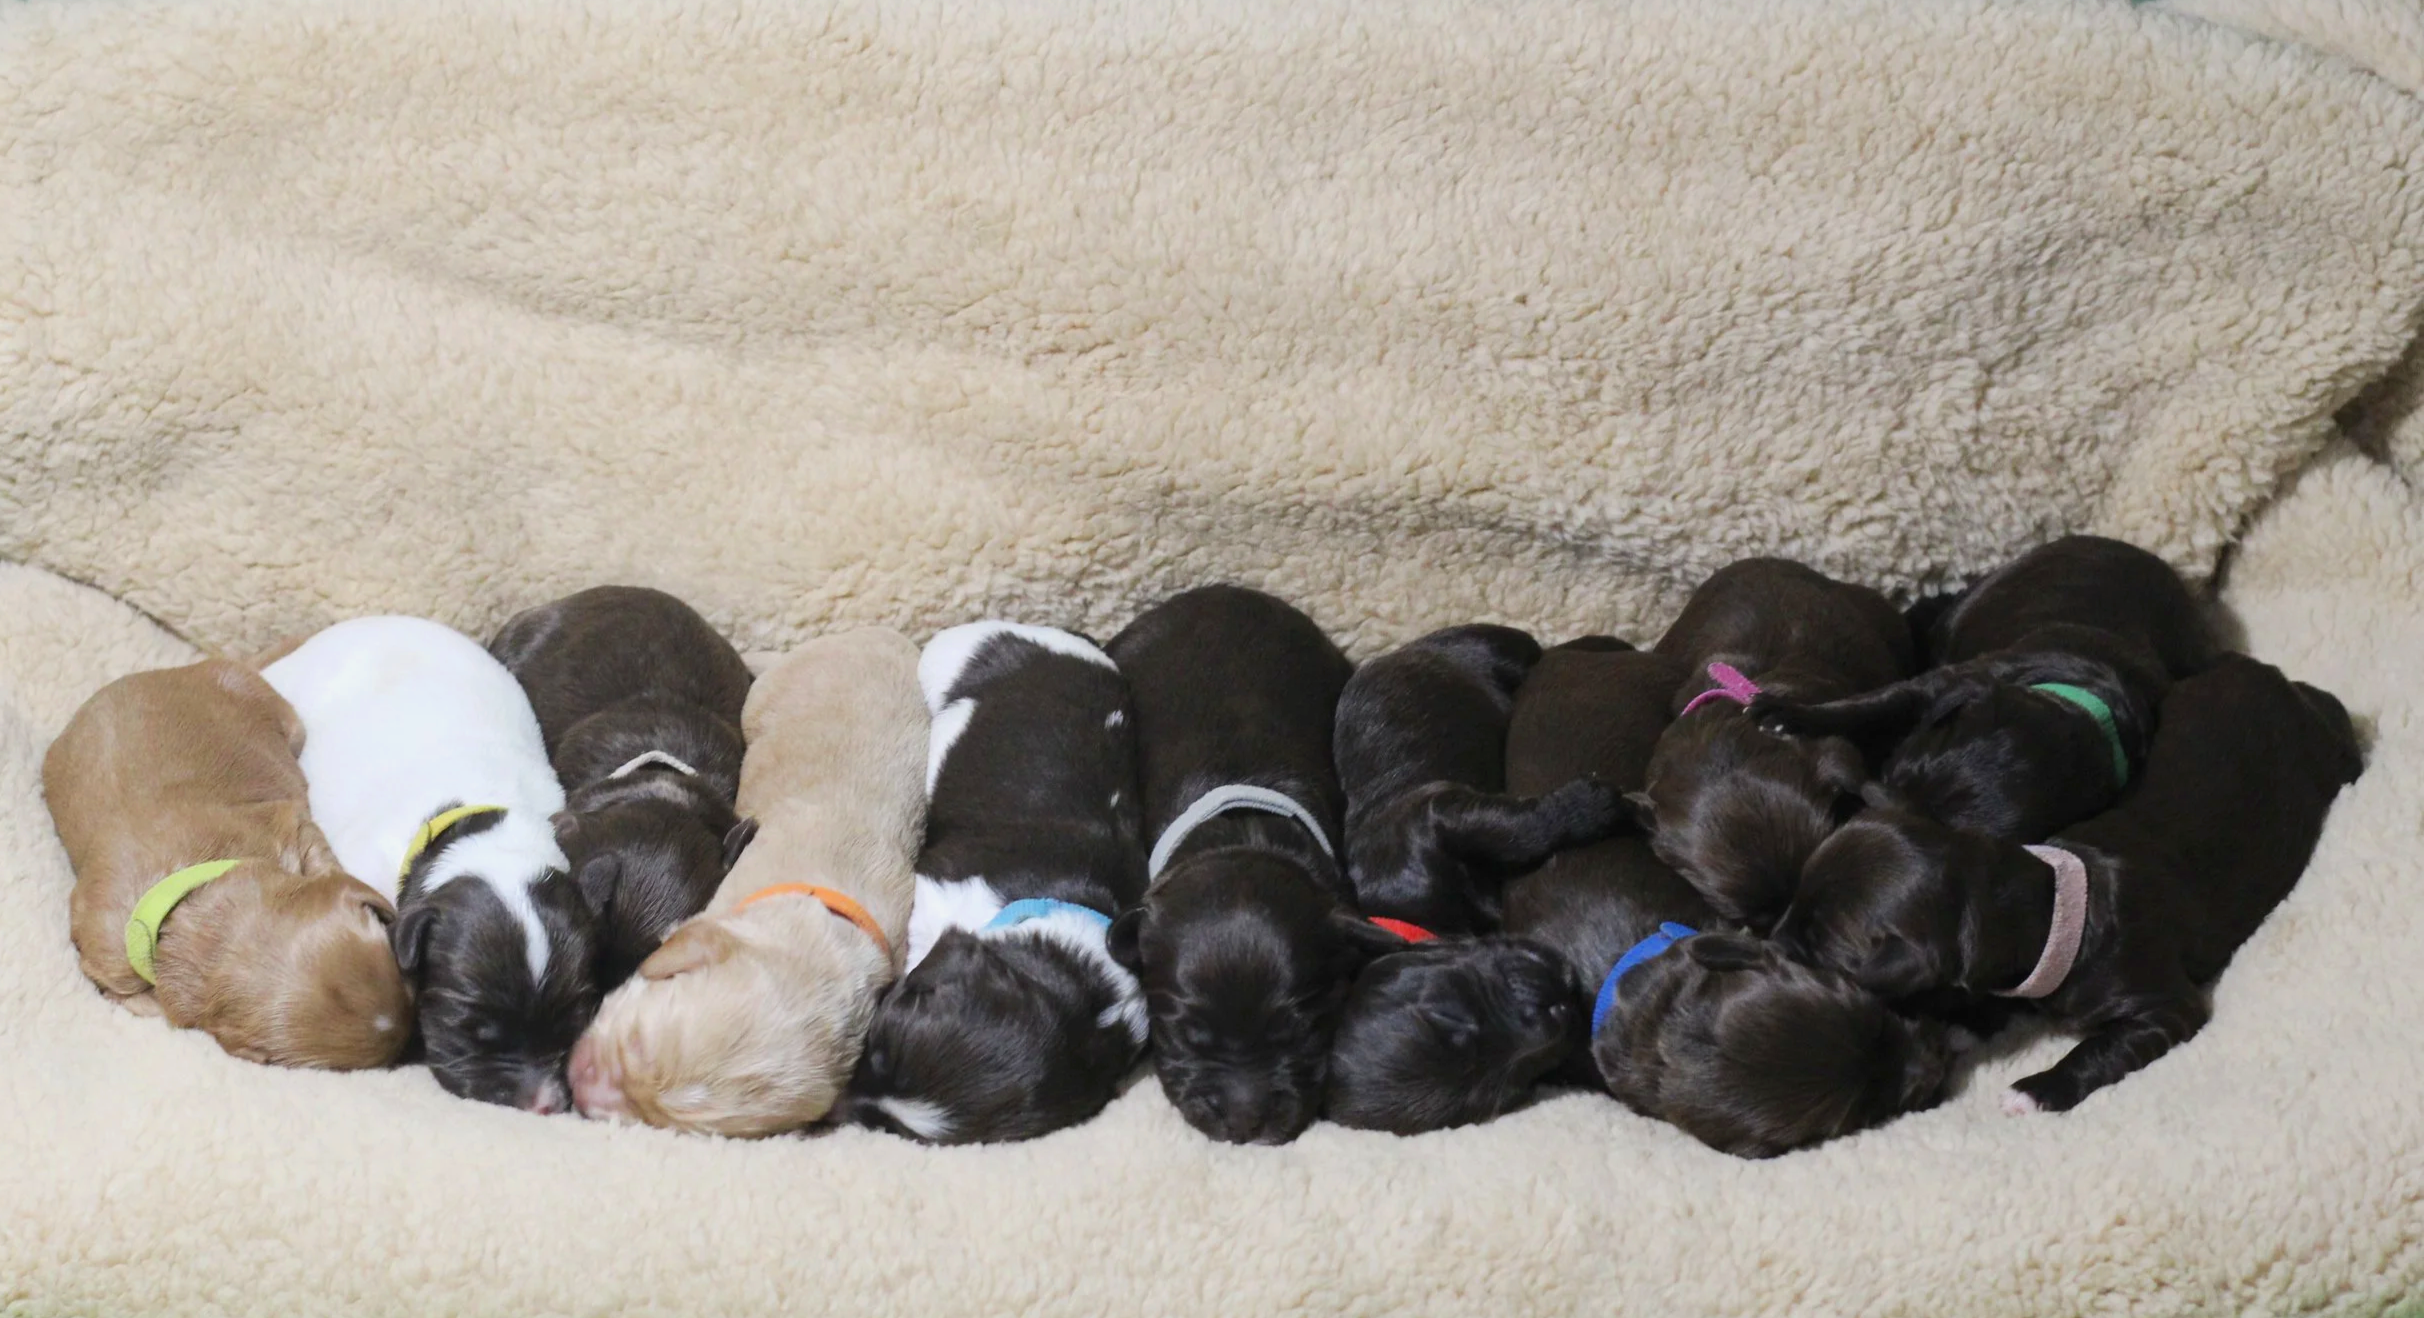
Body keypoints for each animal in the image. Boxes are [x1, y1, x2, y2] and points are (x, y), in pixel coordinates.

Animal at [1333, 625, 1623, 935]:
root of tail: (1405, 647)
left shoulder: (1436, 809)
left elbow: (1512, 829)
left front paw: (1586, 805)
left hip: (1490, 644)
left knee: (1543, 653)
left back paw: (1608, 642)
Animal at [1778, 653, 2360, 1114]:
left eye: (1819, 947)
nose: (1771, 941)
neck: (2057, 902)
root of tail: (2276, 675)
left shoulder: (2163, 1006)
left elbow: (2099, 1048)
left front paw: (2033, 1091)